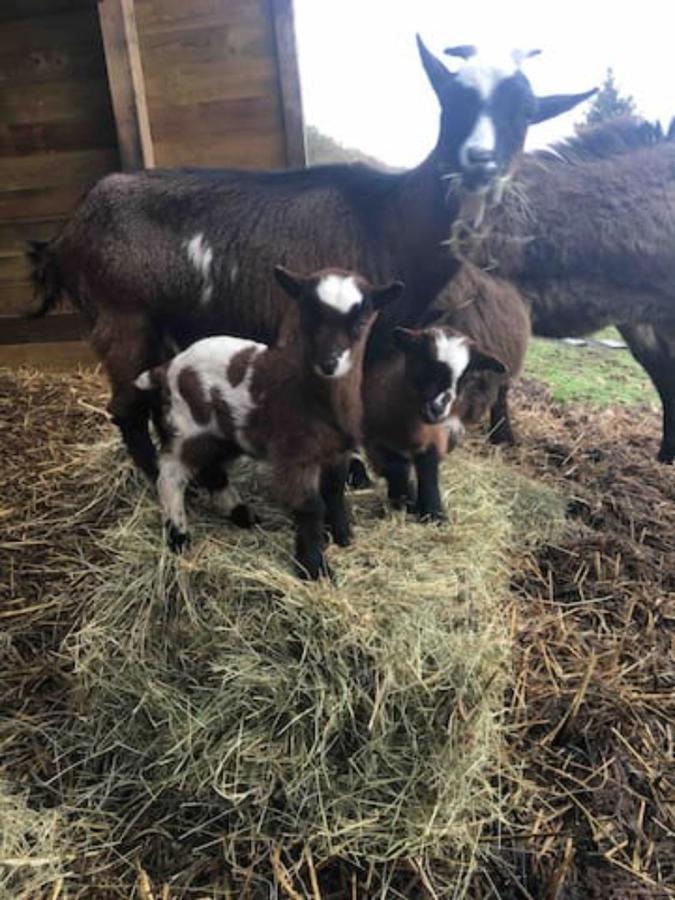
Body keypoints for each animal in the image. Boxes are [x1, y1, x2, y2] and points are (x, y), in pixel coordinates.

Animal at [27, 37, 596, 478]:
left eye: (526, 111)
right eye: (451, 98)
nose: (479, 161)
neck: (388, 218)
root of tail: (69, 231)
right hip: (121, 319)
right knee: (124, 407)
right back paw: (152, 479)